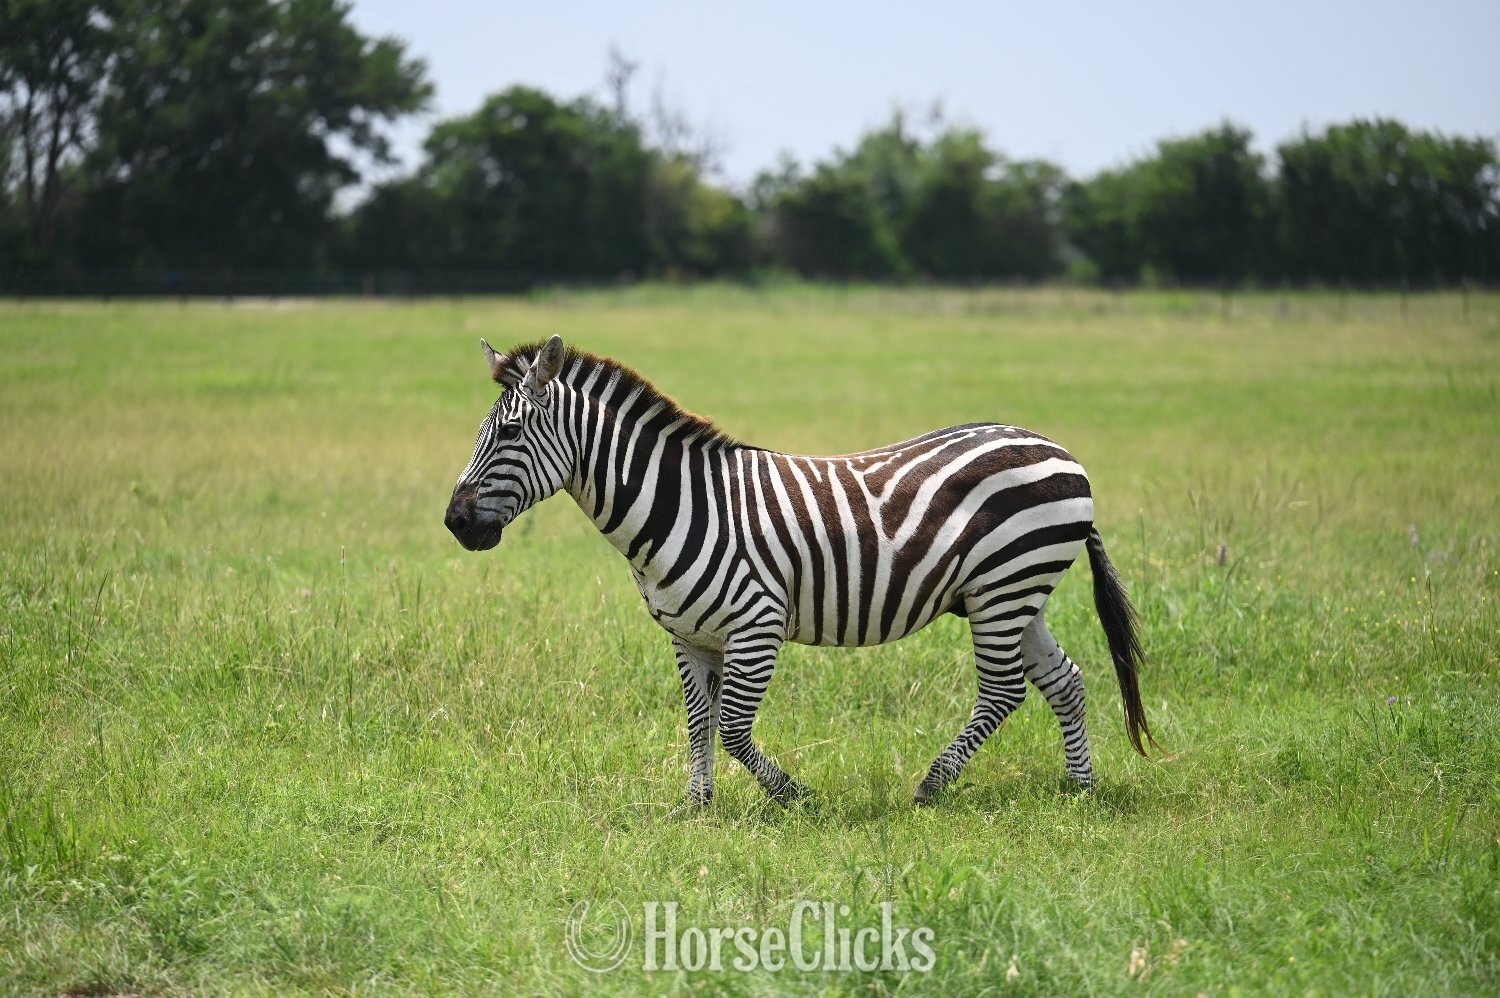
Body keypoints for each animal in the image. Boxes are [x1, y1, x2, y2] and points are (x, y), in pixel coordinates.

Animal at [445, 334, 1158, 809]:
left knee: (1005, 691)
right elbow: (699, 722)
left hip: (1004, 586)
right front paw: (695, 808)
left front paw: (796, 797)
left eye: (509, 434)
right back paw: (1079, 789)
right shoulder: (688, 636)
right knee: (1064, 681)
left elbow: (734, 728)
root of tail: (1058, 448)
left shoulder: (755, 624)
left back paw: (931, 786)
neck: (678, 503)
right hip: (1016, 592)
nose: (455, 523)